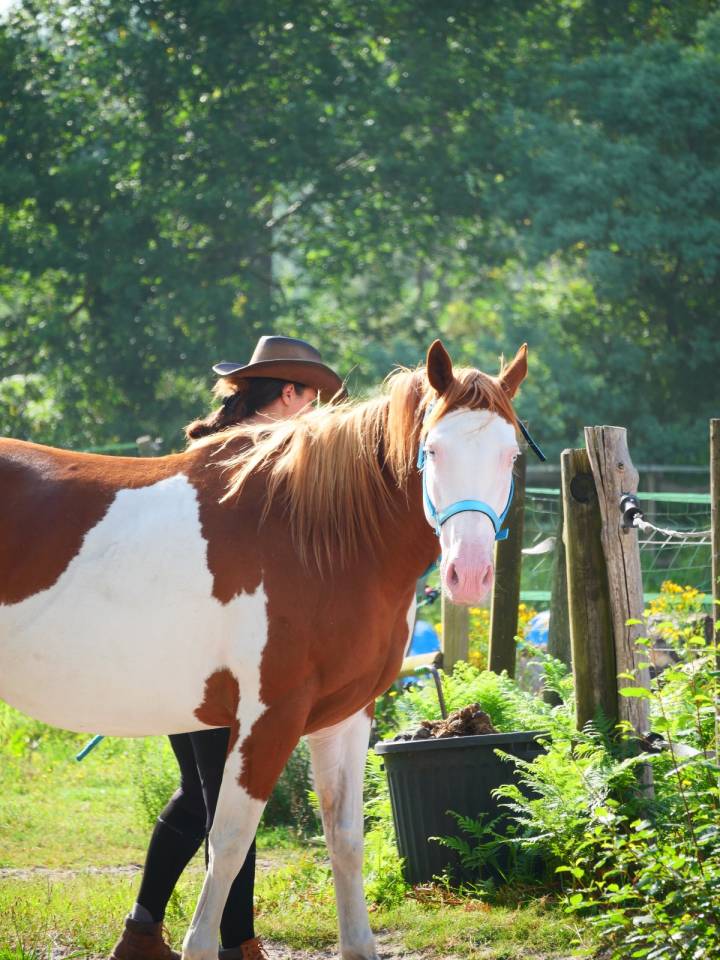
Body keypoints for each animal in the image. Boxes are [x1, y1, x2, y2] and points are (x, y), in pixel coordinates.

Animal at [0, 339, 527, 960]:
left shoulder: (346, 716)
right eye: (434, 449)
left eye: (511, 455)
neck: (316, 538)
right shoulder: (269, 717)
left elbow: (344, 838)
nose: (468, 574)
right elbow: (228, 844)